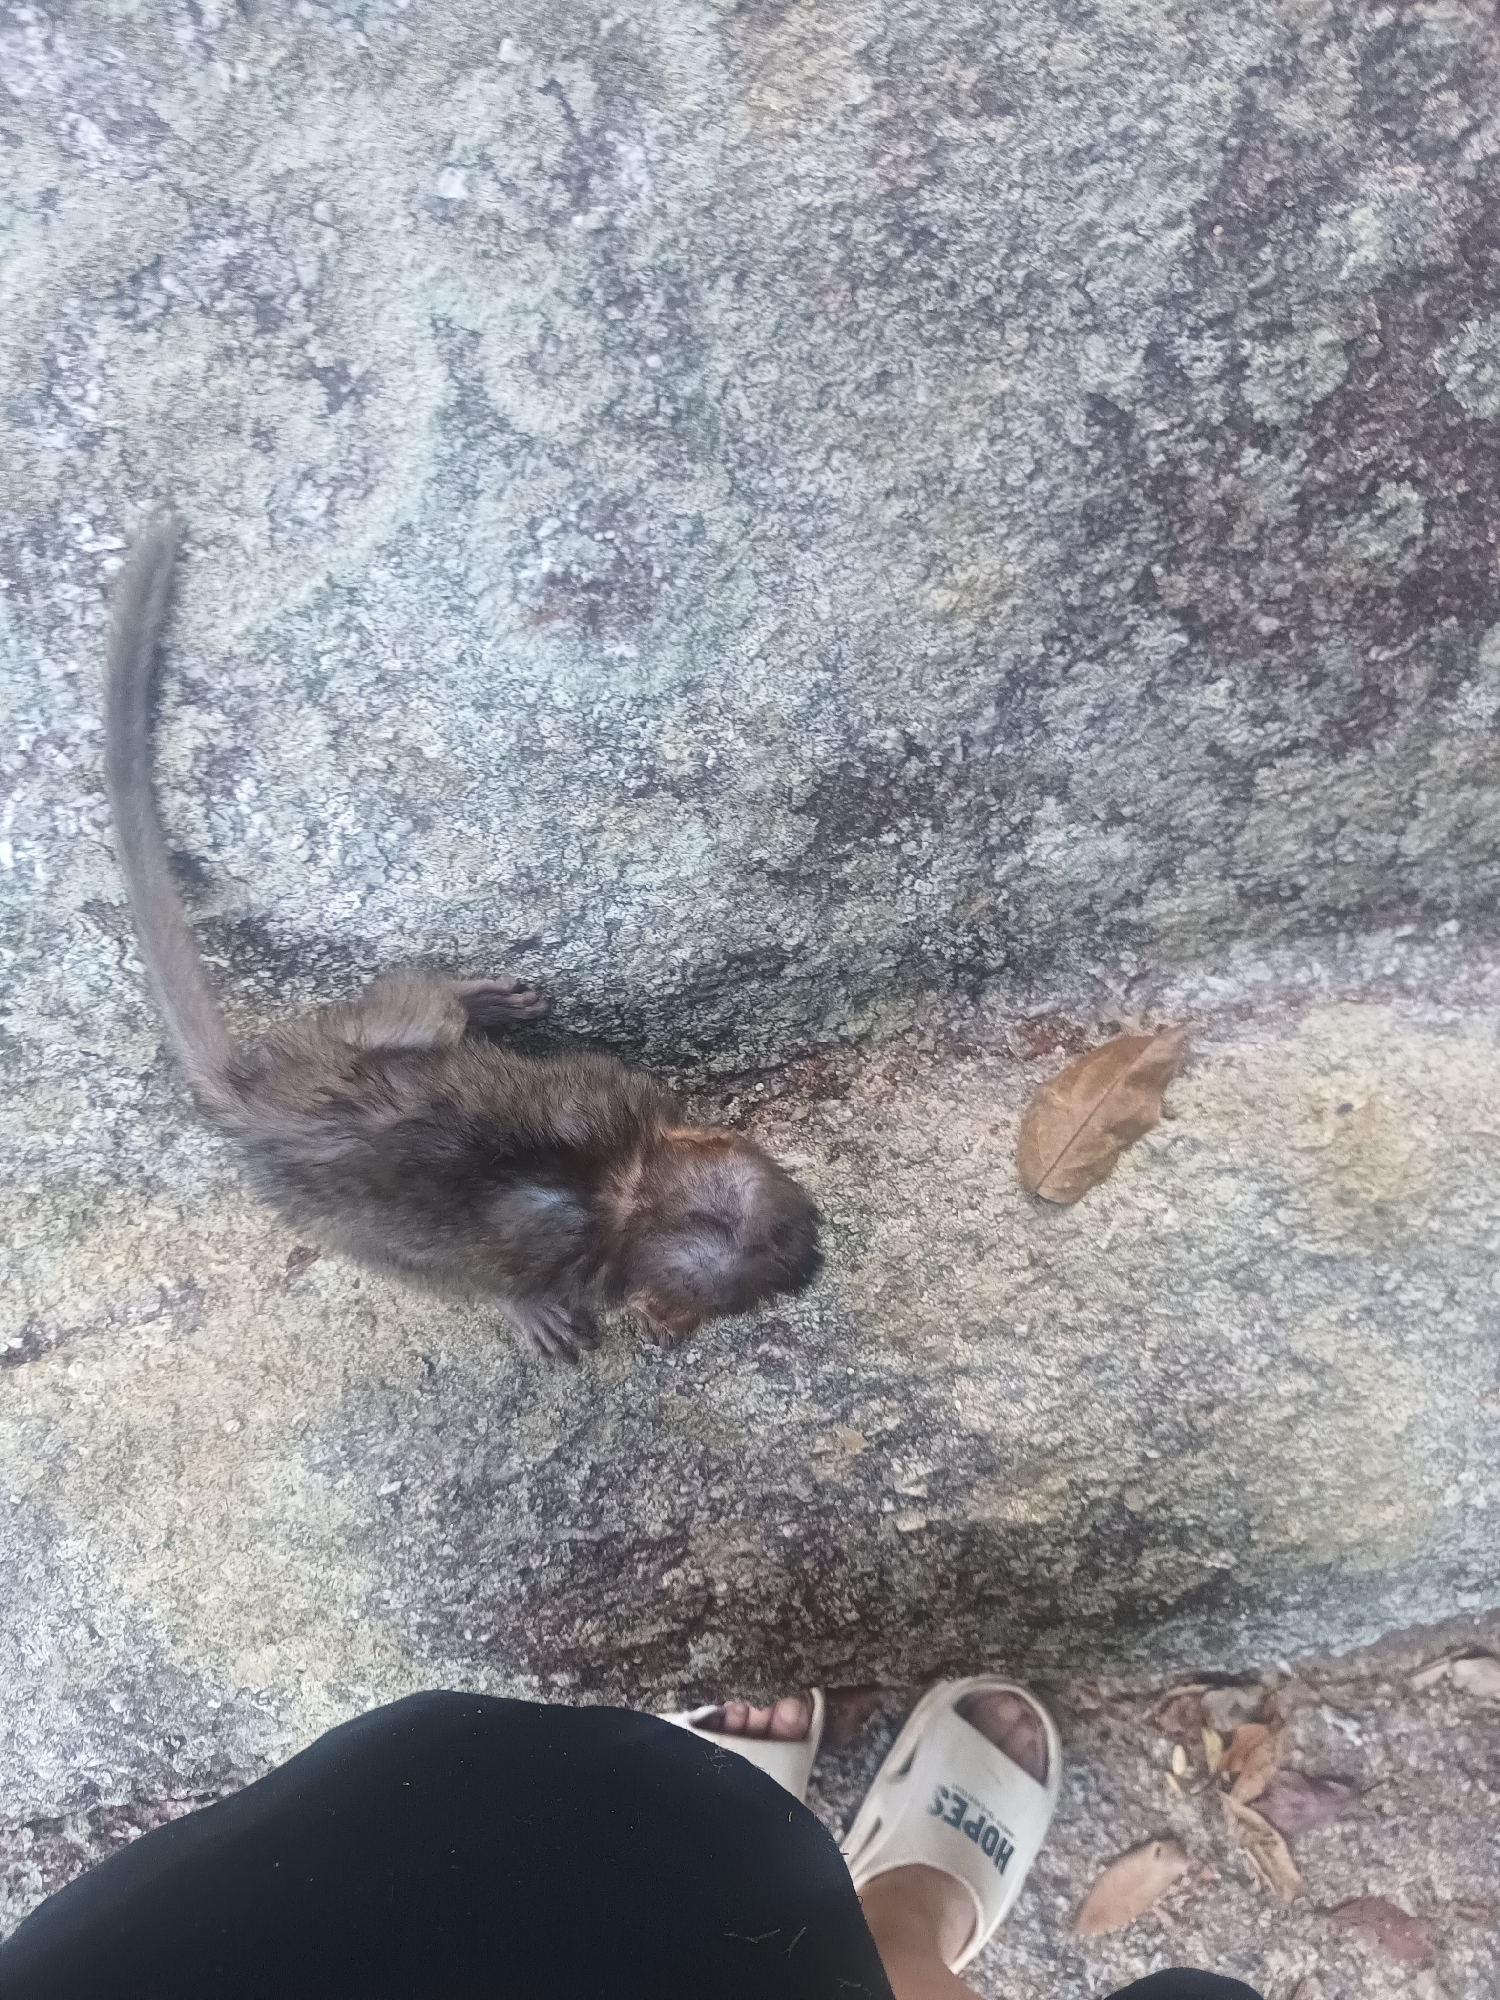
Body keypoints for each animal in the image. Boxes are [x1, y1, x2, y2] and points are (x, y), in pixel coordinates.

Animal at [103, 512, 822, 1362]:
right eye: (770, 1283)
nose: (820, 1251)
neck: (629, 1195)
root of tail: (260, 1102)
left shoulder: (611, 1092)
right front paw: (532, 1310)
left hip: (358, 1048)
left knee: (421, 1015)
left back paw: (473, 1000)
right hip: (327, 1218)